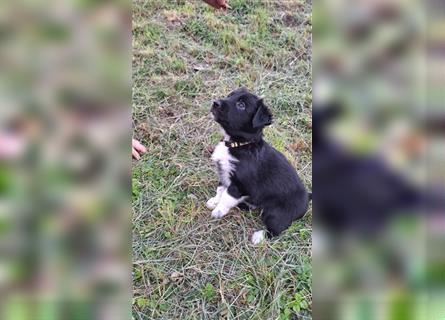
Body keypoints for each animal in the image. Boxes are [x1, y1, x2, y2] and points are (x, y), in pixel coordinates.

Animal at [206, 86, 306, 244]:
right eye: (230, 95)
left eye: (241, 105)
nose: (215, 102)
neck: (239, 145)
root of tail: (309, 196)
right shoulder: (224, 173)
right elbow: (220, 189)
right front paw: (214, 201)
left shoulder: (239, 185)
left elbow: (227, 197)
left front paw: (218, 211)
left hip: (276, 214)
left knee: (277, 229)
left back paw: (259, 237)